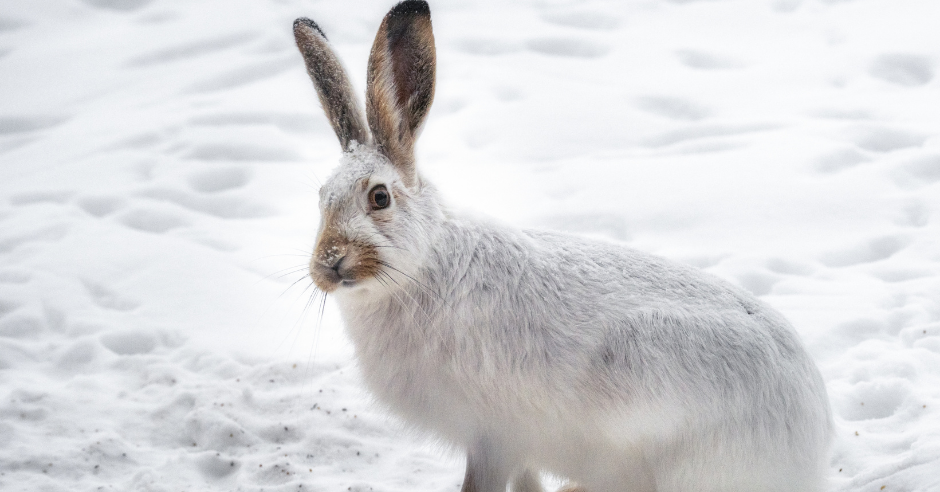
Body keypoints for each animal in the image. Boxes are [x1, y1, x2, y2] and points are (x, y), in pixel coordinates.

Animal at [292, 1, 828, 490]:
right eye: (320, 199)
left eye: (379, 197)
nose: (330, 263)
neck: (419, 269)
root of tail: (810, 432)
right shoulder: (515, 449)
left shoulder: (493, 438)